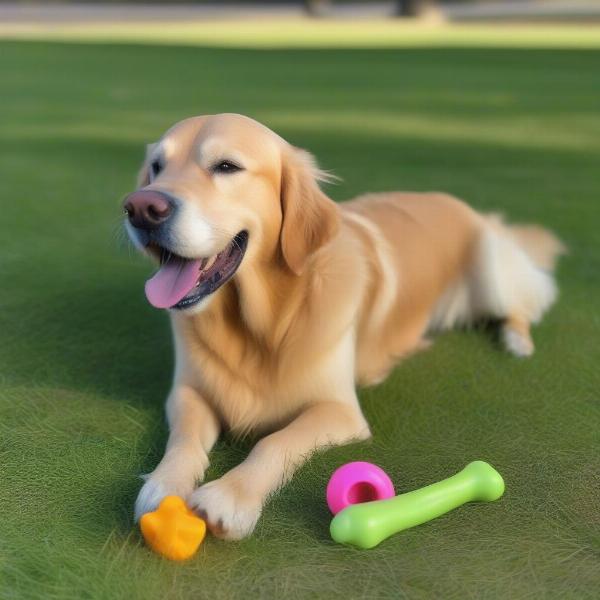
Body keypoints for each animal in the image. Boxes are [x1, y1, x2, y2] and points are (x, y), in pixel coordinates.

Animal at [124, 112, 564, 540]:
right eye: (157, 167)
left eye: (226, 166)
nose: (140, 208)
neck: (262, 324)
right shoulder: (187, 392)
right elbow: (184, 439)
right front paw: (164, 485)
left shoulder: (339, 411)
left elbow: (275, 440)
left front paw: (229, 497)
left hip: (492, 272)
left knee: (524, 303)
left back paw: (517, 341)